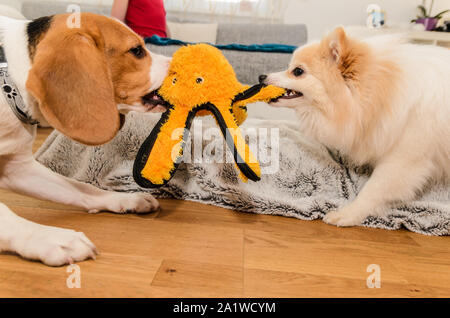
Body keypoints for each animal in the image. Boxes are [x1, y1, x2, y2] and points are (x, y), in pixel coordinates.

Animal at [0, 13, 171, 266]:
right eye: (137, 50)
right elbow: (6, 216)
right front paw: (49, 238)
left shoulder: (17, 168)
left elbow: (81, 188)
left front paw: (123, 199)